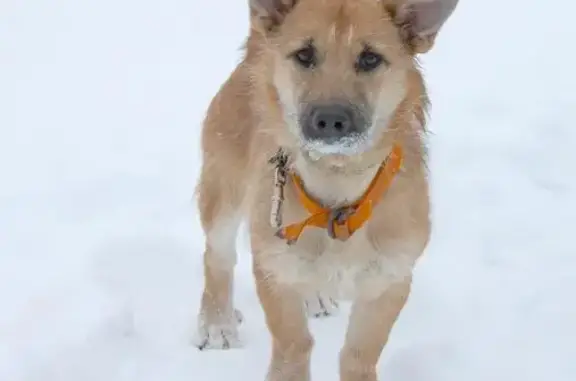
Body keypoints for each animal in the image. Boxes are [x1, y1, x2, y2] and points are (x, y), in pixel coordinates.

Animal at [194, 0, 460, 378]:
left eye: (370, 59)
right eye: (304, 55)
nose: (331, 118)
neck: (337, 198)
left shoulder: (389, 282)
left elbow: (358, 355)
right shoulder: (275, 272)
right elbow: (294, 347)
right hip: (223, 193)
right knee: (217, 256)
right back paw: (216, 323)